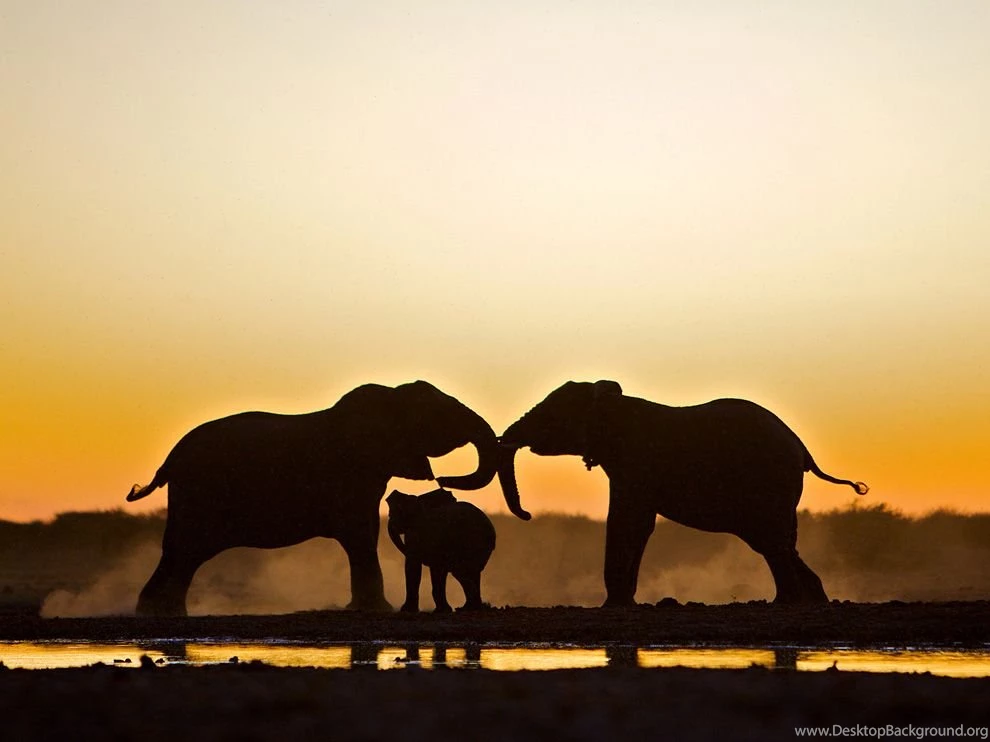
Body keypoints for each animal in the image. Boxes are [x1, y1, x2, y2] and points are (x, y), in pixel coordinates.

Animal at [125, 380, 508, 616]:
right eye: (440, 416)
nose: (445, 480)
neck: (389, 398)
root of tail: (169, 460)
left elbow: (365, 532)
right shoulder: (351, 472)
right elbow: (359, 534)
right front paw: (375, 609)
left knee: (182, 552)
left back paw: (157, 612)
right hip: (199, 494)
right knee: (187, 550)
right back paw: (163, 612)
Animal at [495, 380, 868, 606]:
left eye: (551, 414)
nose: (527, 514)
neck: (611, 404)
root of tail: (802, 449)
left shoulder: (636, 463)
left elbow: (625, 521)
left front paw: (612, 605)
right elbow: (640, 526)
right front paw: (625, 603)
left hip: (770, 483)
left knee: (773, 542)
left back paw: (784, 602)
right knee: (776, 542)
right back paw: (810, 599)